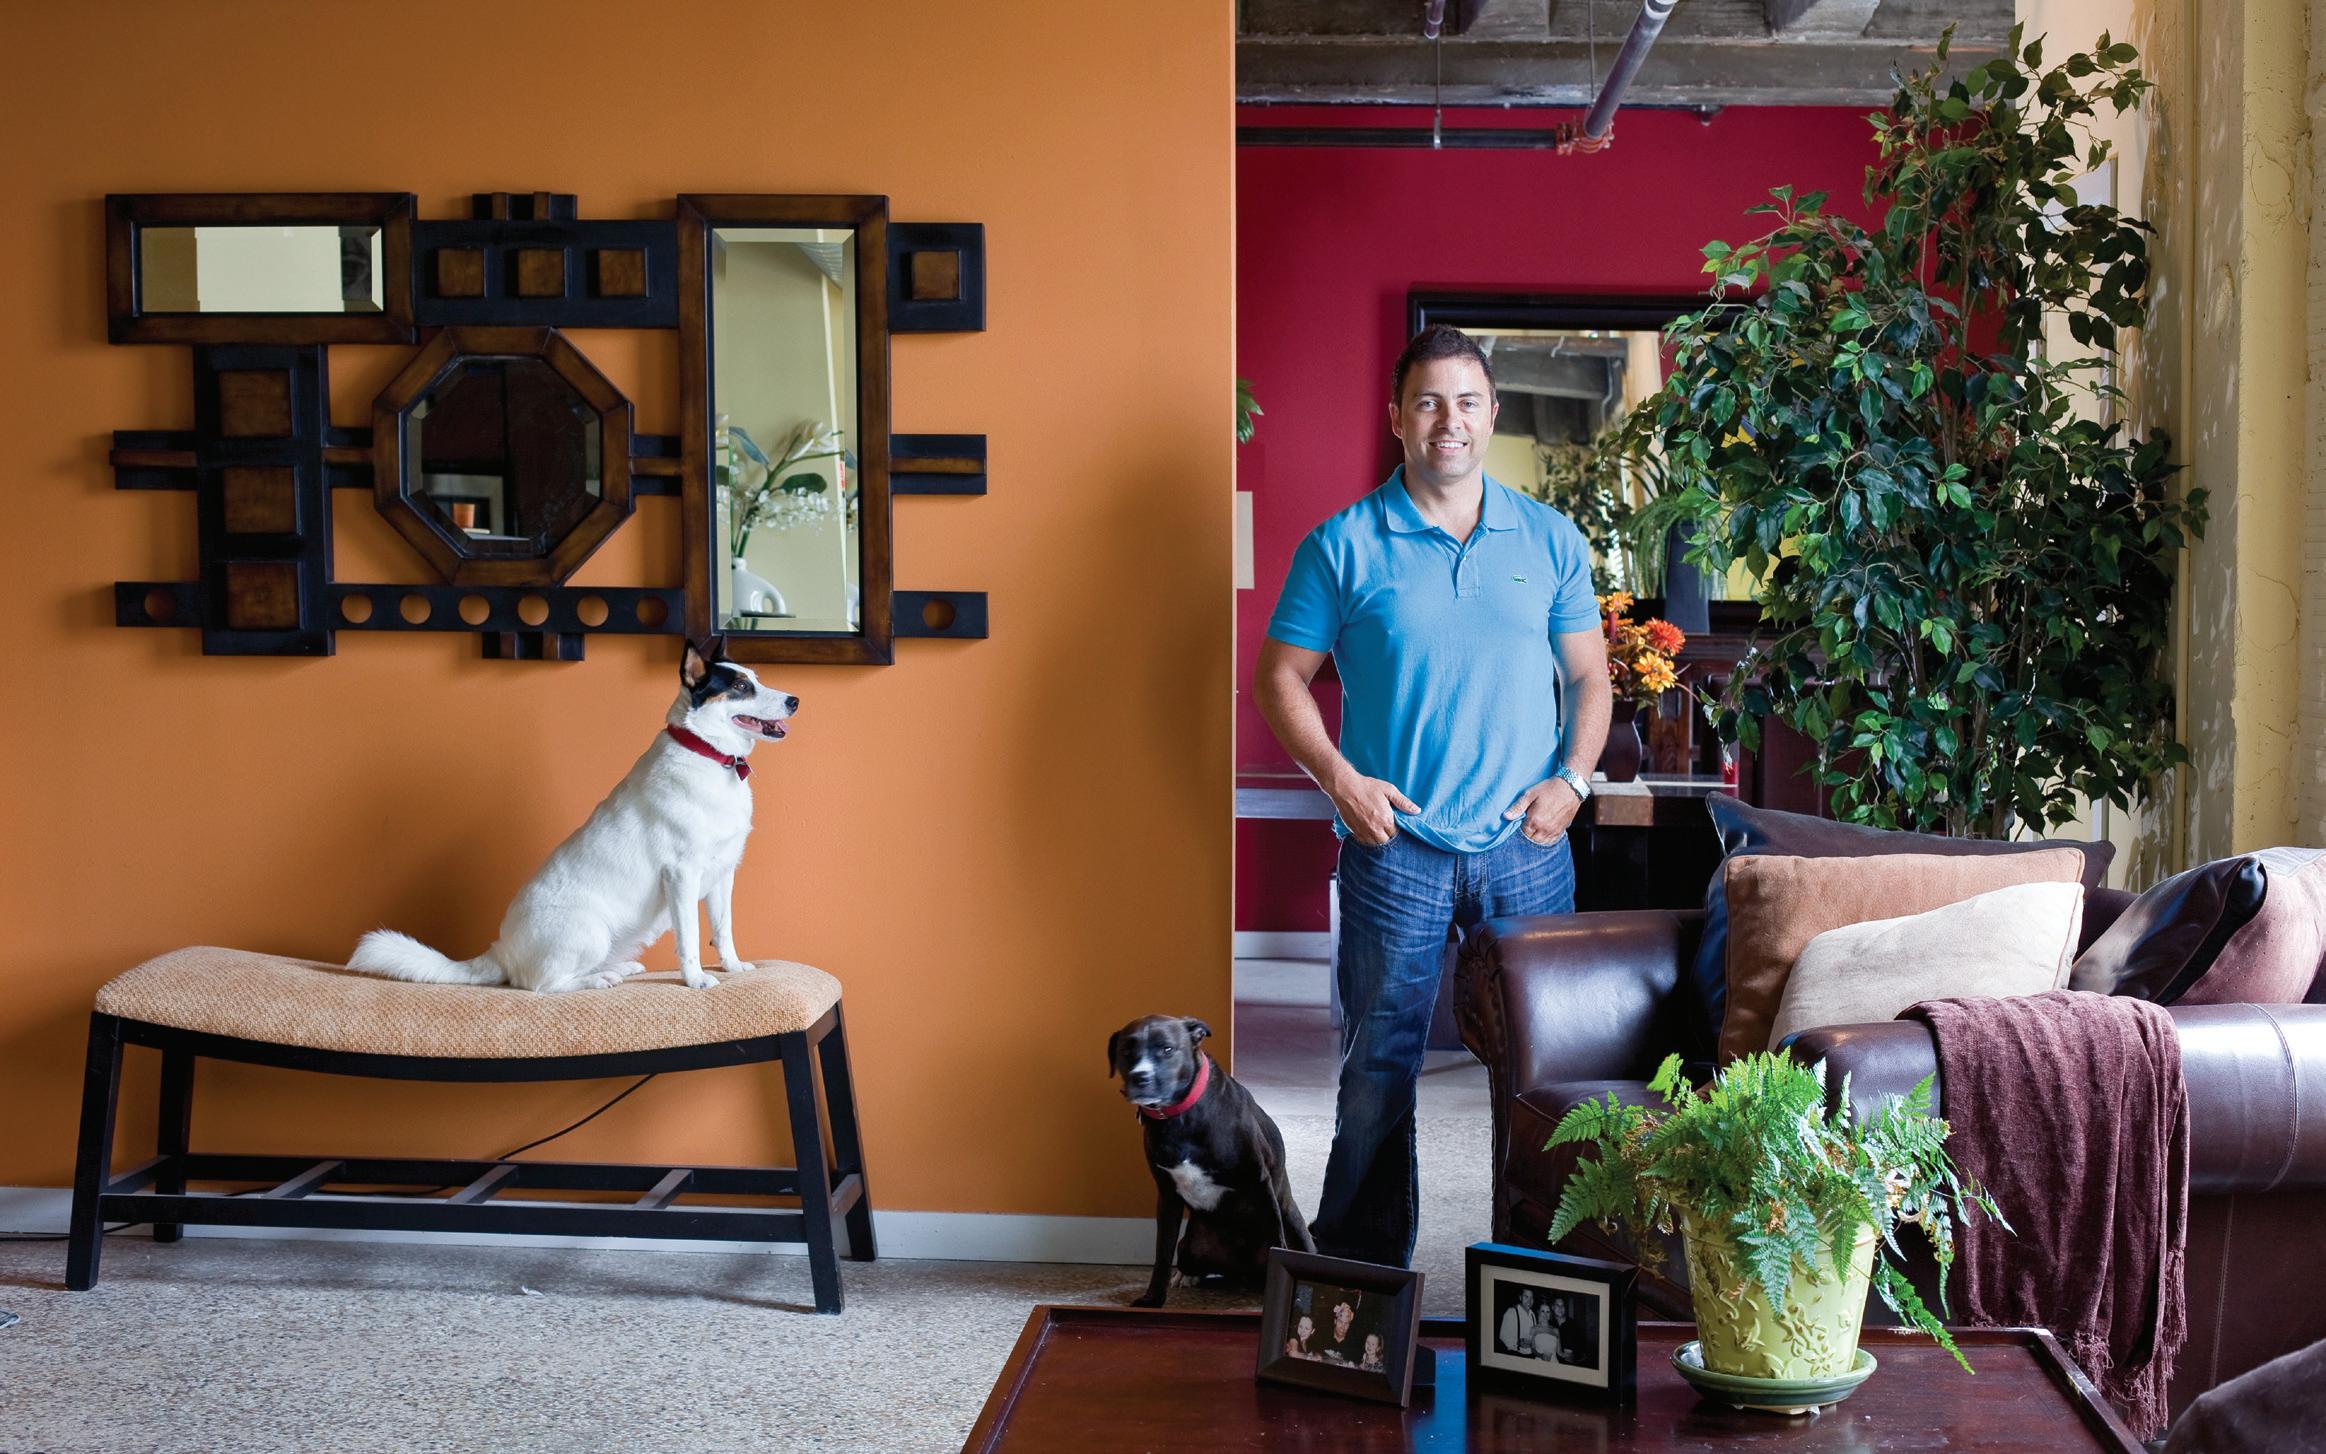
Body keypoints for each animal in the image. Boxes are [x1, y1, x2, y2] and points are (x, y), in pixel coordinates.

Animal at [346, 640, 797, 993]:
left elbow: (723, 930)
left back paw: (618, 968)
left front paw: (734, 966)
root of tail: (500, 951)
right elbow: (691, 938)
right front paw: (696, 979)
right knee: (542, 985)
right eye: (740, 687)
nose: (794, 700)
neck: (708, 754)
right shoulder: (682, 876)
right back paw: (598, 979)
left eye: (754, 678)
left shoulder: (723, 874)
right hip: (590, 930)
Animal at [1108, 1014, 1314, 1307]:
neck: (1180, 1115)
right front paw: (1153, 1298)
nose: (1141, 1077)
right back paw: (1187, 1275)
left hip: (1296, 1229)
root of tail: (1244, 1269)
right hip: (1191, 1243)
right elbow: (1162, 1252)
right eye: (1126, 1051)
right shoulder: (1167, 1195)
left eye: (1167, 1049)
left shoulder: (1259, 1183)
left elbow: (1276, 1238)